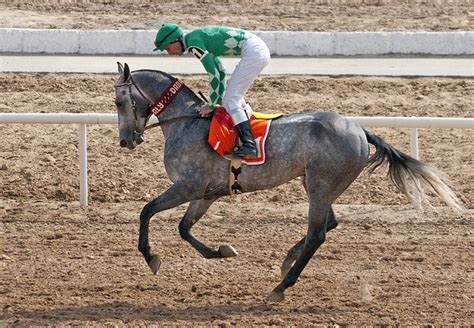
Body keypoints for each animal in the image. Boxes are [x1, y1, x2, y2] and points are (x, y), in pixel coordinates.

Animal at [113, 62, 462, 302]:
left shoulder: (188, 186)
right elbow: (184, 228)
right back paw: (286, 261)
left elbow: (147, 211)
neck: (186, 123)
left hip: (321, 185)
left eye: (118, 102)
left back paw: (282, 286)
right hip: (316, 184)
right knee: (328, 224)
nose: (125, 141)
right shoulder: (207, 193)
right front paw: (221, 251)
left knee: (318, 233)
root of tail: (359, 130)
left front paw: (151, 257)